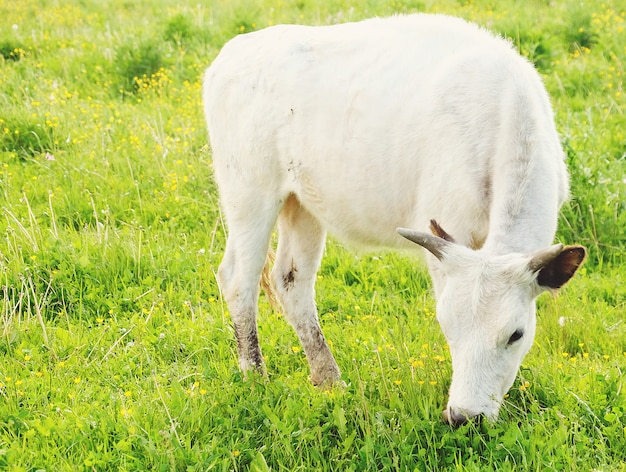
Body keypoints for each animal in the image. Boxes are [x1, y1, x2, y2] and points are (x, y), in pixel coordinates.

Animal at [204, 14, 584, 426]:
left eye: (516, 334)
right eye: (446, 326)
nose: (465, 416)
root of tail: (235, 49)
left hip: (301, 204)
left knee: (291, 281)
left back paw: (329, 380)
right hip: (248, 193)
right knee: (238, 278)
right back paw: (255, 377)